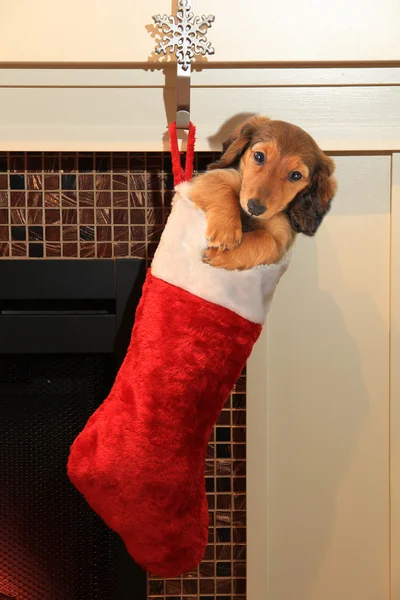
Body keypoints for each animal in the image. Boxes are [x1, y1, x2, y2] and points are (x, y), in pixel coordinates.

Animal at [189, 115, 336, 270]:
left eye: (296, 175)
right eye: (259, 156)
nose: (255, 208)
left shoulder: (280, 241)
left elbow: (266, 240)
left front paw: (219, 254)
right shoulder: (207, 179)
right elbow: (221, 186)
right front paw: (225, 231)